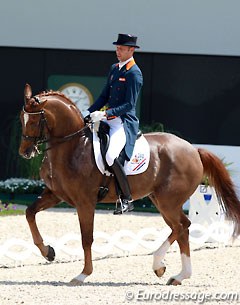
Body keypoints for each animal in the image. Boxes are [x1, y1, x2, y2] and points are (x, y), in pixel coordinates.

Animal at [19, 83, 240, 284]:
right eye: (22, 119)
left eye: (35, 121)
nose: (25, 152)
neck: (72, 147)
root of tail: (194, 150)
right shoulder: (55, 194)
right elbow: (30, 213)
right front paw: (48, 252)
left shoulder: (85, 202)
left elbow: (86, 238)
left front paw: (83, 274)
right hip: (161, 201)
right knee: (182, 228)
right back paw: (177, 275)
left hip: (168, 201)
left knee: (180, 226)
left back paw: (160, 265)